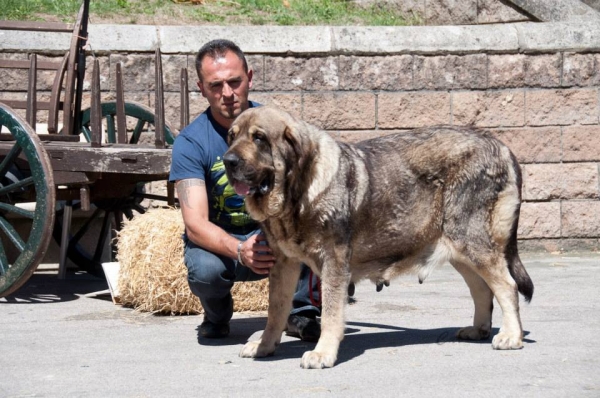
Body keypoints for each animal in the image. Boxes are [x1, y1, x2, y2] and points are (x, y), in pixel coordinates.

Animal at [225, 105, 536, 370]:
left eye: (259, 138)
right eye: (232, 135)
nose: (228, 161)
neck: (297, 192)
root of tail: (500, 146)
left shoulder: (334, 262)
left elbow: (331, 313)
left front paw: (323, 353)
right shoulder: (283, 263)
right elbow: (276, 310)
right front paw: (264, 345)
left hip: (472, 241)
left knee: (506, 286)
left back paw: (511, 336)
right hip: (459, 248)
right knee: (482, 289)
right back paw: (479, 330)